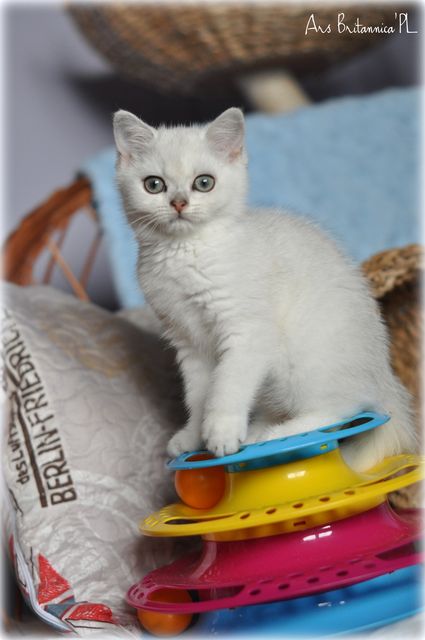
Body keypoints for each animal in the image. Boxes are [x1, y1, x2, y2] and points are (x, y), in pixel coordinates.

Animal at [113, 107, 416, 471]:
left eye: (204, 182)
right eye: (154, 184)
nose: (179, 203)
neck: (185, 253)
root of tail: (386, 377)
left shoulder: (248, 330)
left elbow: (228, 384)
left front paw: (221, 432)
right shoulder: (188, 342)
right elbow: (199, 394)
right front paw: (194, 436)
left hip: (302, 362)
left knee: (345, 407)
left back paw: (280, 433)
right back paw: (260, 428)